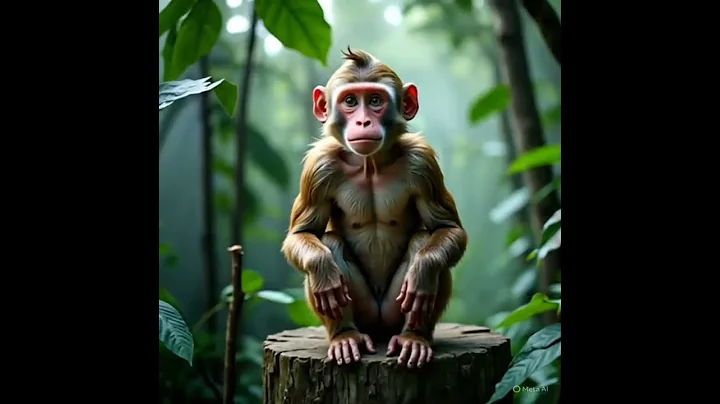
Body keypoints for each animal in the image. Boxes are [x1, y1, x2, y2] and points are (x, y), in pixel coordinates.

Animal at [281, 48, 467, 369]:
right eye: (350, 102)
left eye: (376, 101)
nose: (364, 122)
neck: (370, 164)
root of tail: (380, 331)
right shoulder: (319, 167)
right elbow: (303, 235)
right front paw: (321, 270)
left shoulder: (423, 163)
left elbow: (447, 229)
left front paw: (424, 272)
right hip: (366, 314)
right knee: (329, 244)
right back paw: (344, 335)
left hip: (392, 312)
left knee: (424, 242)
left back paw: (414, 336)